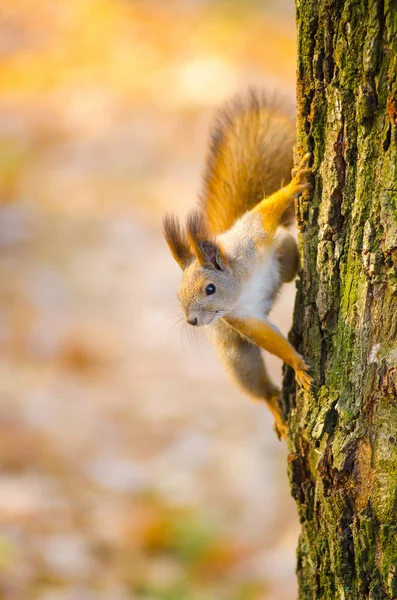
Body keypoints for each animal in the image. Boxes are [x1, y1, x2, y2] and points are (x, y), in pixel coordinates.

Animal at [162, 91, 310, 438]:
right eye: (177, 296)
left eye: (210, 289)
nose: (192, 322)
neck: (241, 285)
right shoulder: (241, 319)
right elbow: (268, 338)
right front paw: (296, 364)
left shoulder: (252, 236)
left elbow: (266, 211)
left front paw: (294, 184)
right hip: (235, 355)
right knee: (259, 386)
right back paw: (275, 407)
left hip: (281, 245)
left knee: (285, 259)